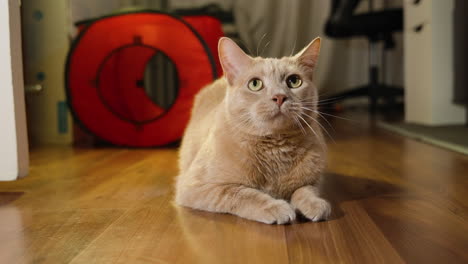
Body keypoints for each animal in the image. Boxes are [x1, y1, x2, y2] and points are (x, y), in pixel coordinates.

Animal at [174, 36, 330, 224]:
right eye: (255, 84)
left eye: (294, 81)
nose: (279, 97)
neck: (275, 151)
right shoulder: (196, 187)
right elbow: (242, 193)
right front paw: (275, 206)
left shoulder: (316, 180)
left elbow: (305, 189)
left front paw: (314, 203)